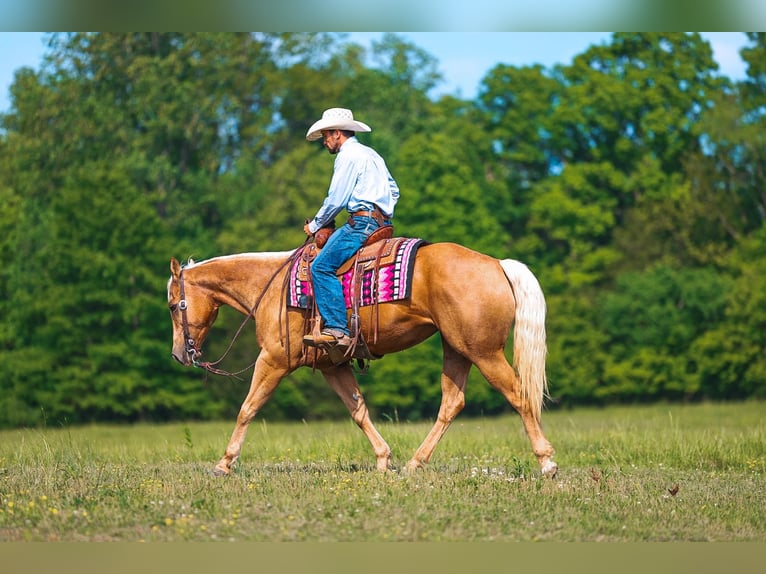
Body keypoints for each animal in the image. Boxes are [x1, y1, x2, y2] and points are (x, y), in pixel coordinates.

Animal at [167, 241, 558, 477]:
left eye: (173, 305)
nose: (178, 354)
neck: (273, 287)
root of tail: (498, 265)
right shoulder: (333, 365)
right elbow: (358, 411)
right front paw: (384, 460)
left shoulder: (274, 359)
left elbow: (247, 408)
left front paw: (224, 463)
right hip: (456, 348)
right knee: (452, 403)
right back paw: (415, 463)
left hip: (483, 352)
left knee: (519, 395)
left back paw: (547, 462)